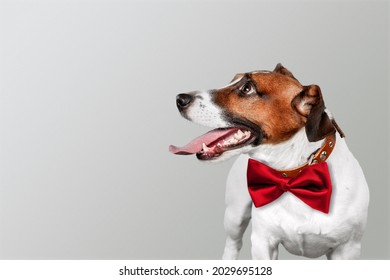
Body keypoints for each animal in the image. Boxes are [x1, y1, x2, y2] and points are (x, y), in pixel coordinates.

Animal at [168, 64, 368, 260]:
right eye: (232, 80)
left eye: (247, 88)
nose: (179, 99)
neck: (292, 176)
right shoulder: (262, 242)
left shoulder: (348, 249)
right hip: (235, 215)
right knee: (232, 244)